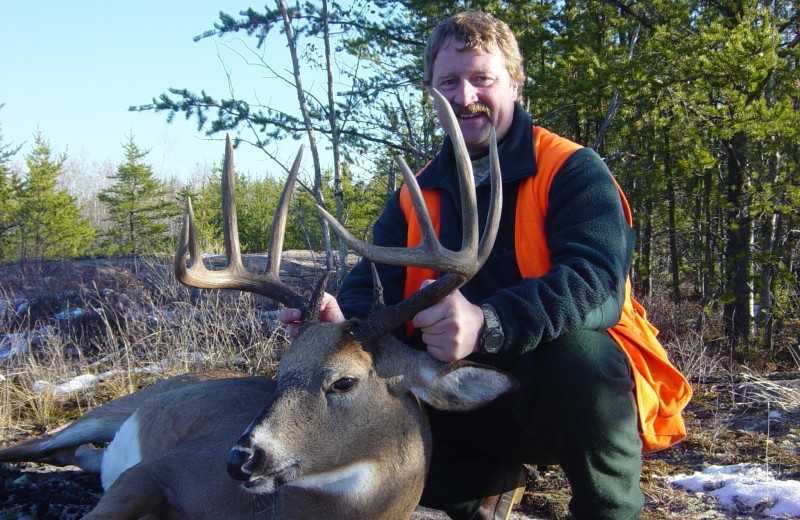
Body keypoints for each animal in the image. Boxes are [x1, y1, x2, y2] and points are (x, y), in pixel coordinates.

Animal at [0, 89, 514, 520]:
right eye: (280, 370)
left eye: (344, 382)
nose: (239, 458)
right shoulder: (155, 470)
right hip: (112, 408)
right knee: (32, 445)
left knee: (78, 455)